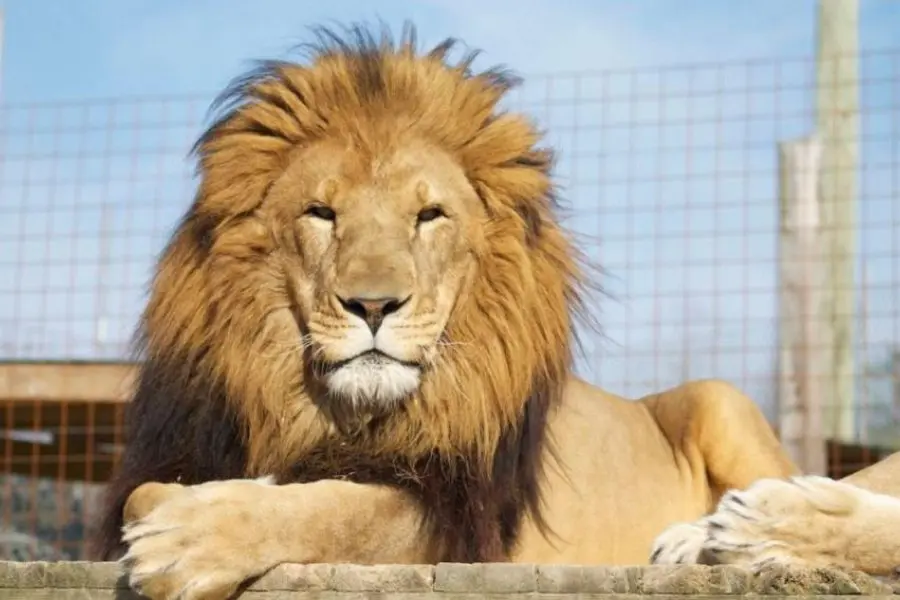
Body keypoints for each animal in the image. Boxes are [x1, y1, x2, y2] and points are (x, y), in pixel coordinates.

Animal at [90, 23, 896, 600]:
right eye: (321, 213)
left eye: (429, 216)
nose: (374, 304)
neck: (338, 414)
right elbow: (151, 497)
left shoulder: (453, 512)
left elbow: (342, 511)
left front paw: (192, 537)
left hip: (720, 401)